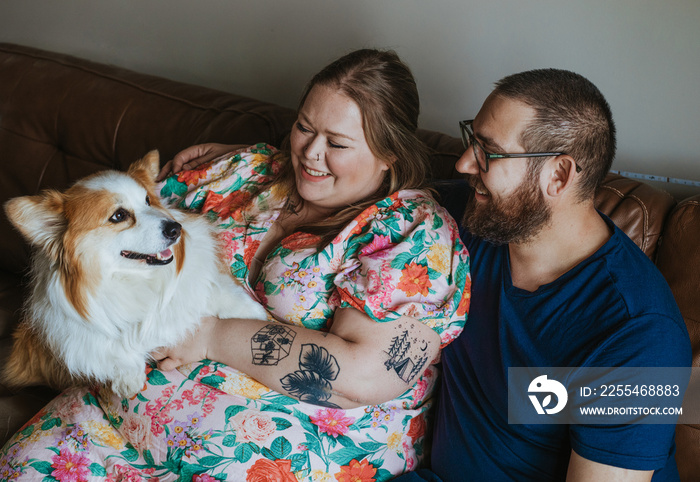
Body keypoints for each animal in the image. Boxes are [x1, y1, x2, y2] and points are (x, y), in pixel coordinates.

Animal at [2, 151, 268, 396]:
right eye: (119, 215)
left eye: (148, 201)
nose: (176, 228)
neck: (136, 278)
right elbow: (111, 346)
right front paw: (127, 377)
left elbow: (213, 290)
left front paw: (252, 312)